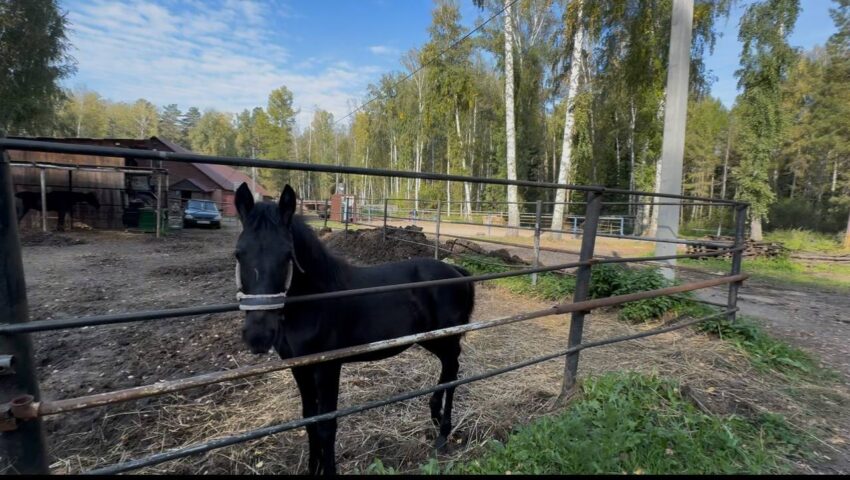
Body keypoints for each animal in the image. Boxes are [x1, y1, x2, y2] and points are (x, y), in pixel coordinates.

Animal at [233, 183, 475, 475]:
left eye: (287, 255)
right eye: (239, 254)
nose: (258, 336)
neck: (316, 299)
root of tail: (456, 271)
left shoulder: (328, 368)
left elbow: (327, 425)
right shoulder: (298, 367)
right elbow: (309, 421)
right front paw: (313, 468)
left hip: (445, 337)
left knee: (452, 369)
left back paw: (442, 433)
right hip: (431, 340)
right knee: (448, 367)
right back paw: (435, 416)